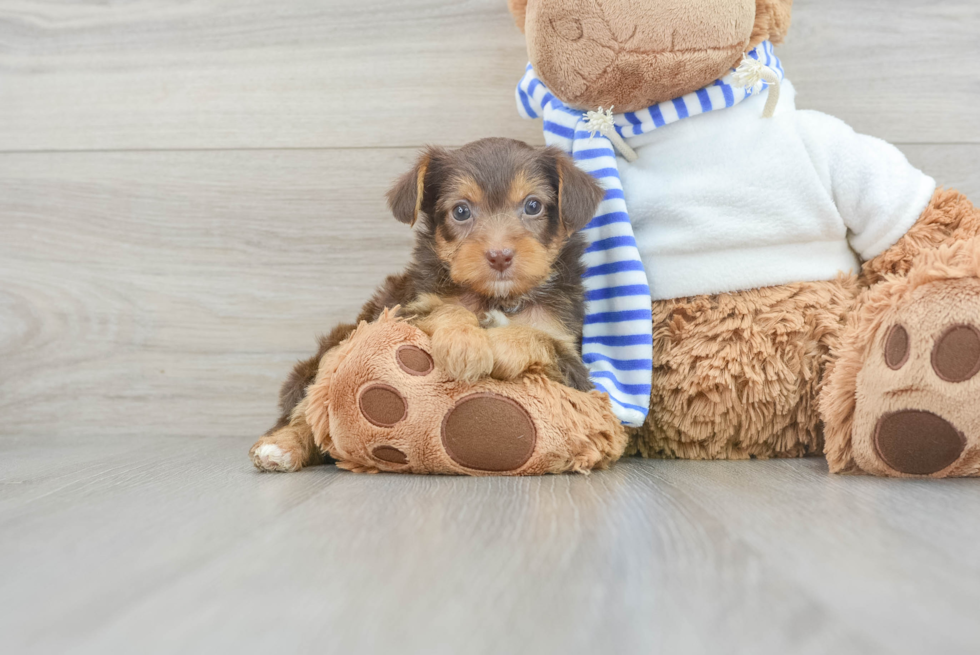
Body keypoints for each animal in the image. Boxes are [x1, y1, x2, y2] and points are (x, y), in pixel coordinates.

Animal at [251, 137, 604, 472]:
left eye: (533, 206)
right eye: (461, 211)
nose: (500, 256)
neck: (496, 297)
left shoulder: (572, 364)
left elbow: (539, 338)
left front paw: (497, 344)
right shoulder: (404, 310)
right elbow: (448, 307)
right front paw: (465, 344)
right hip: (332, 351)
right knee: (306, 412)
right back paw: (280, 447)